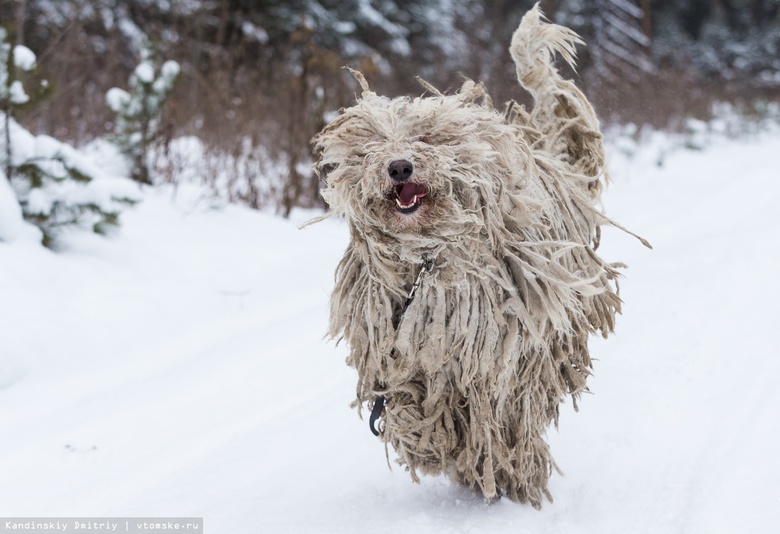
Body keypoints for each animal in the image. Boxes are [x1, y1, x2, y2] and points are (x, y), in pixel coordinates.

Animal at [310, 5, 644, 510]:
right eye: (372, 147)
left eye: (428, 137)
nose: (400, 166)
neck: (423, 260)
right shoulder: (394, 345)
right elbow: (410, 399)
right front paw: (428, 440)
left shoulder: (499, 353)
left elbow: (496, 410)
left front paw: (490, 463)